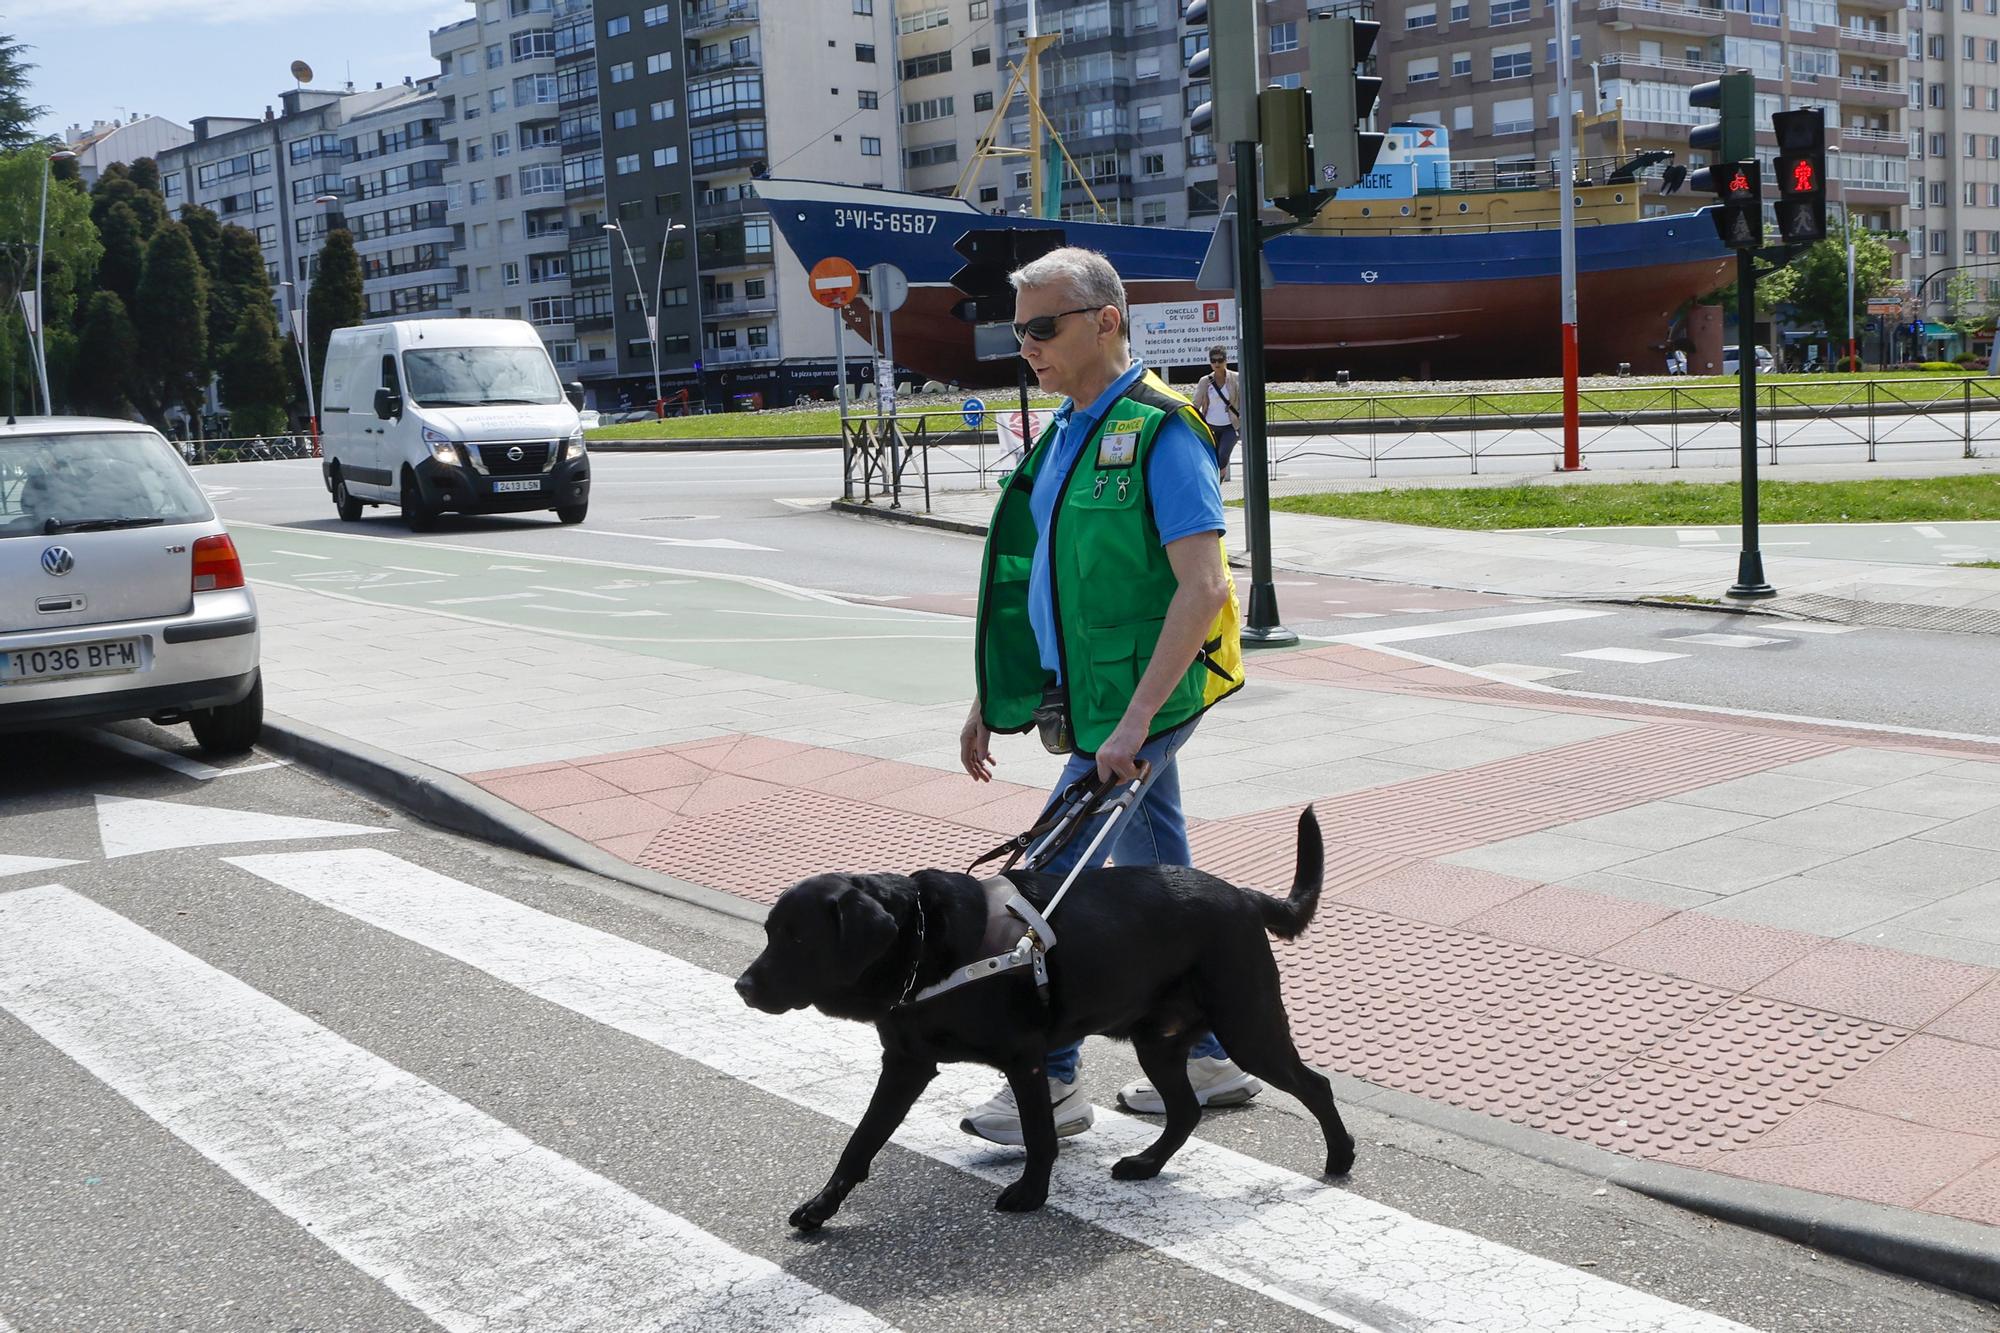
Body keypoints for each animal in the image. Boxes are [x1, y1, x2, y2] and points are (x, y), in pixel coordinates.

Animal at [732, 800, 1344, 1224]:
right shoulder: (906, 1064)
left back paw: (1340, 1158)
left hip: (1247, 1026)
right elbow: (860, 1140)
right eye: (771, 933)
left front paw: (1031, 1193)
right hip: (1157, 1040)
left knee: (1314, 1085)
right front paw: (821, 1206)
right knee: (1186, 1111)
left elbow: (1040, 1134)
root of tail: (1244, 896)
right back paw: (1146, 1164)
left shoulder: (1023, 1058)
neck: (923, 944)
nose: (742, 987)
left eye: (799, 939)